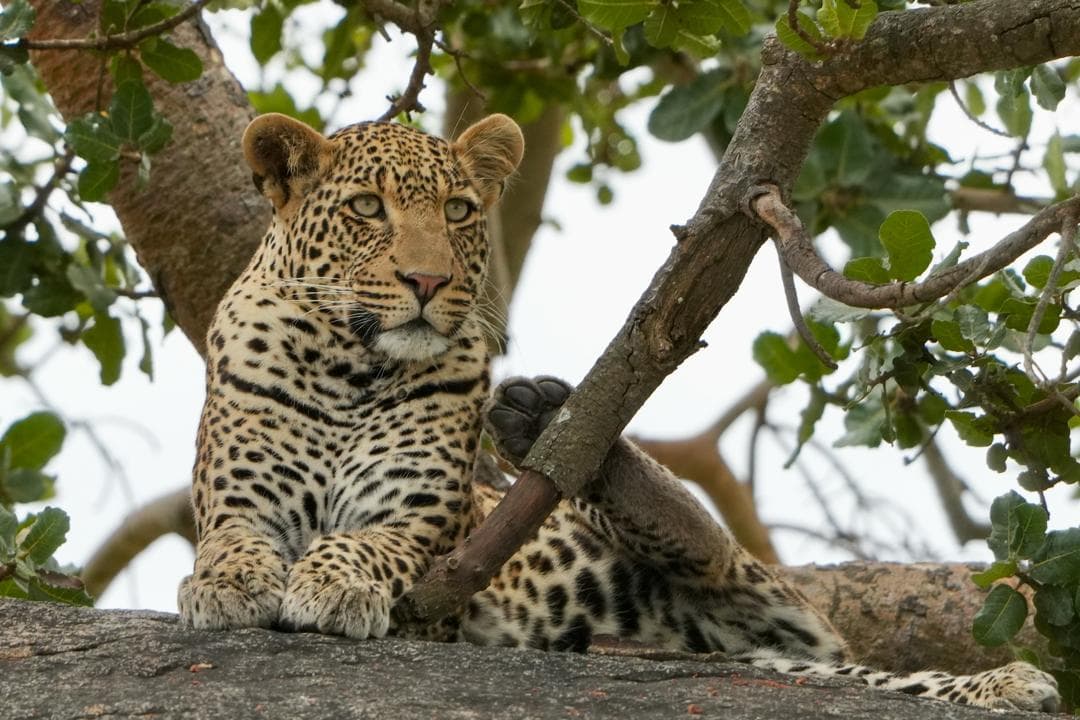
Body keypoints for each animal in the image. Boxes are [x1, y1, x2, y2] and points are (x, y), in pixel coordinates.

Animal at [178, 112, 1060, 713]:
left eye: (459, 212)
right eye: (366, 208)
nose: (428, 282)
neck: (351, 368)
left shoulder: (423, 526)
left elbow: (366, 543)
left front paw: (332, 585)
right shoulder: (239, 504)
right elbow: (231, 541)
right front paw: (226, 584)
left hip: (767, 607)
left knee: (719, 553)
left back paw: (554, 428)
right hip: (759, 654)